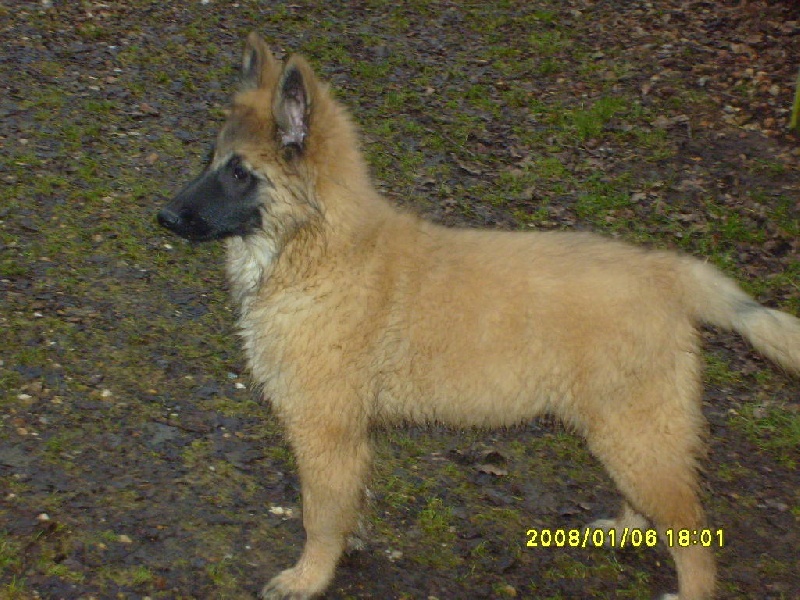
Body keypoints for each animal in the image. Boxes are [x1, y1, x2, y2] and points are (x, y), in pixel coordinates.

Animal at [157, 32, 800, 600]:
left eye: (239, 172)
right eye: (211, 161)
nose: (162, 217)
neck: (319, 250)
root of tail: (665, 271)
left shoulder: (324, 427)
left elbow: (320, 513)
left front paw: (309, 578)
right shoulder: (349, 435)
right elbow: (347, 504)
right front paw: (346, 549)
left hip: (636, 431)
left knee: (695, 541)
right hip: (627, 432)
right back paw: (622, 529)